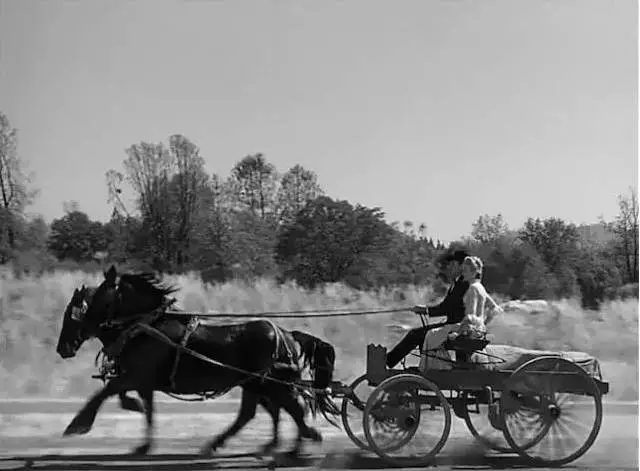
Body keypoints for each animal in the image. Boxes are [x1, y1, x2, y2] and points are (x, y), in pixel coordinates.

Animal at [55, 268, 342, 460]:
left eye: (77, 310)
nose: (62, 348)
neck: (147, 326)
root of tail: (286, 333)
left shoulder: (136, 376)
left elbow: (103, 393)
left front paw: (78, 424)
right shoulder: (142, 380)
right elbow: (146, 410)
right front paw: (143, 444)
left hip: (269, 383)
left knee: (293, 409)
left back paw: (301, 442)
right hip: (254, 383)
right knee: (258, 413)